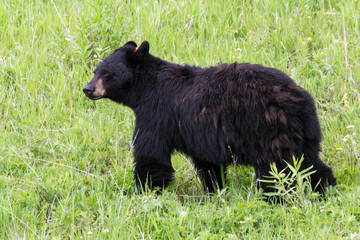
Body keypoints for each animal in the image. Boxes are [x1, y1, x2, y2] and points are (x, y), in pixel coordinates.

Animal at [83, 40, 336, 195]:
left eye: (106, 73)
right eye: (95, 70)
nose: (87, 89)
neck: (145, 88)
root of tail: (300, 99)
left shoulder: (156, 114)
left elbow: (151, 154)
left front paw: (143, 190)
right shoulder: (200, 134)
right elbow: (208, 164)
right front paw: (214, 190)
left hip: (267, 129)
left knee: (277, 169)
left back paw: (275, 198)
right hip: (303, 133)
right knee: (309, 162)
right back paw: (326, 189)